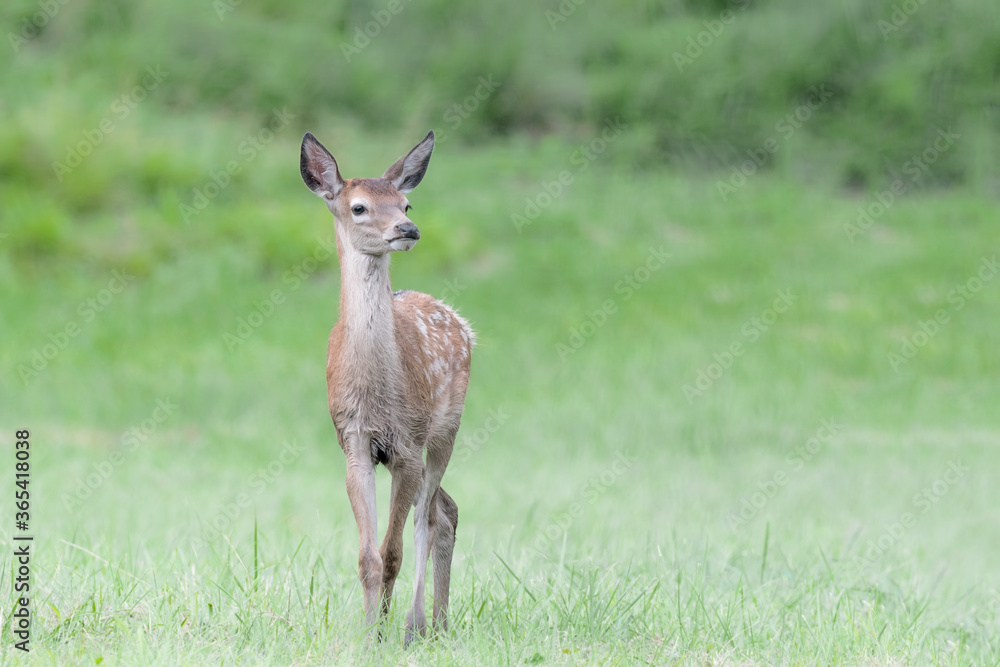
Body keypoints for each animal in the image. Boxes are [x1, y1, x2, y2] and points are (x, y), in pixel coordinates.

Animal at [298, 130, 474, 648]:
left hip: (445, 428)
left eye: (406, 203)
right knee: (446, 508)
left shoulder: (407, 445)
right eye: (358, 207)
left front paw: (384, 631)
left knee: (431, 517)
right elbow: (367, 555)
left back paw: (420, 625)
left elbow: (392, 550)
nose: (407, 229)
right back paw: (436, 622)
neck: (376, 392)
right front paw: (368, 631)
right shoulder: (354, 442)